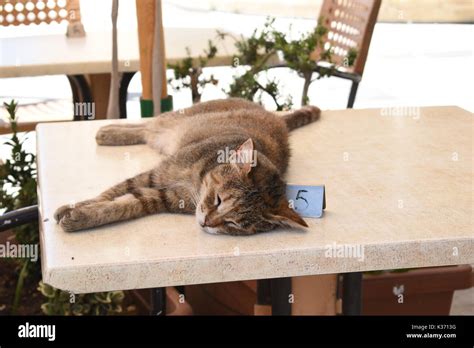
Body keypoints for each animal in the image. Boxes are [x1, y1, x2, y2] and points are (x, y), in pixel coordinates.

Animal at [54, 98, 322, 237]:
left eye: (233, 224)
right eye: (218, 199)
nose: (206, 223)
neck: (196, 180)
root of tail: (277, 118)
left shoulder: (161, 196)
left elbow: (125, 204)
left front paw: (82, 216)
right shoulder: (155, 175)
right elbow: (109, 193)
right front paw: (75, 208)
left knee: (148, 130)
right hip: (177, 118)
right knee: (147, 125)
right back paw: (109, 132)